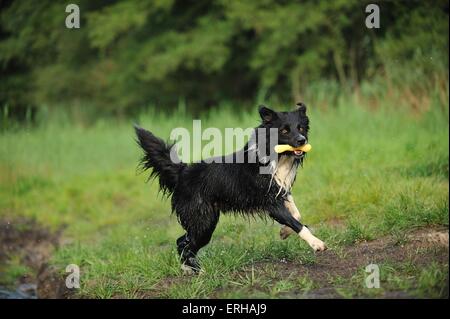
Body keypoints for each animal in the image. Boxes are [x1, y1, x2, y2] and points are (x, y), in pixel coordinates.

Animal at [134, 103, 326, 276]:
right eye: (284, 131)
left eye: (301, 128)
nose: (302, 140)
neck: (277, 158)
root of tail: (182, 172)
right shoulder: (270, 202)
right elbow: (296, 223)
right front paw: (316, 243)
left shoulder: (281, 192)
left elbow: (296, 215)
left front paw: (284, 231)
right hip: (203, 222)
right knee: (185, 244)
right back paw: (198, 270)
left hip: (205, 221)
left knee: (182, 241)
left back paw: (190, 269)